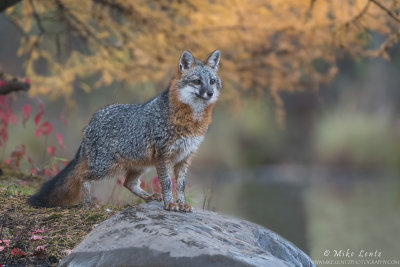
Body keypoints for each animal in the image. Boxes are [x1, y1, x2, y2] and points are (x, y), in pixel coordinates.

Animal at [28, 49, 222, 214]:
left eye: (212, 81)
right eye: (197, 81)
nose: (210, 93)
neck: (191, 120)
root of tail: (92, 121)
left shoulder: (184, 157)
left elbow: (180, 186)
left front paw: (181, 204)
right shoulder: (165, 156)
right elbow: (167, 183)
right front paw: (170, 204)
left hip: (141, 164)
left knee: (128, 183)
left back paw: (149, 197)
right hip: (106, 167)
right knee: (83, 177)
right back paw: (88, 203)